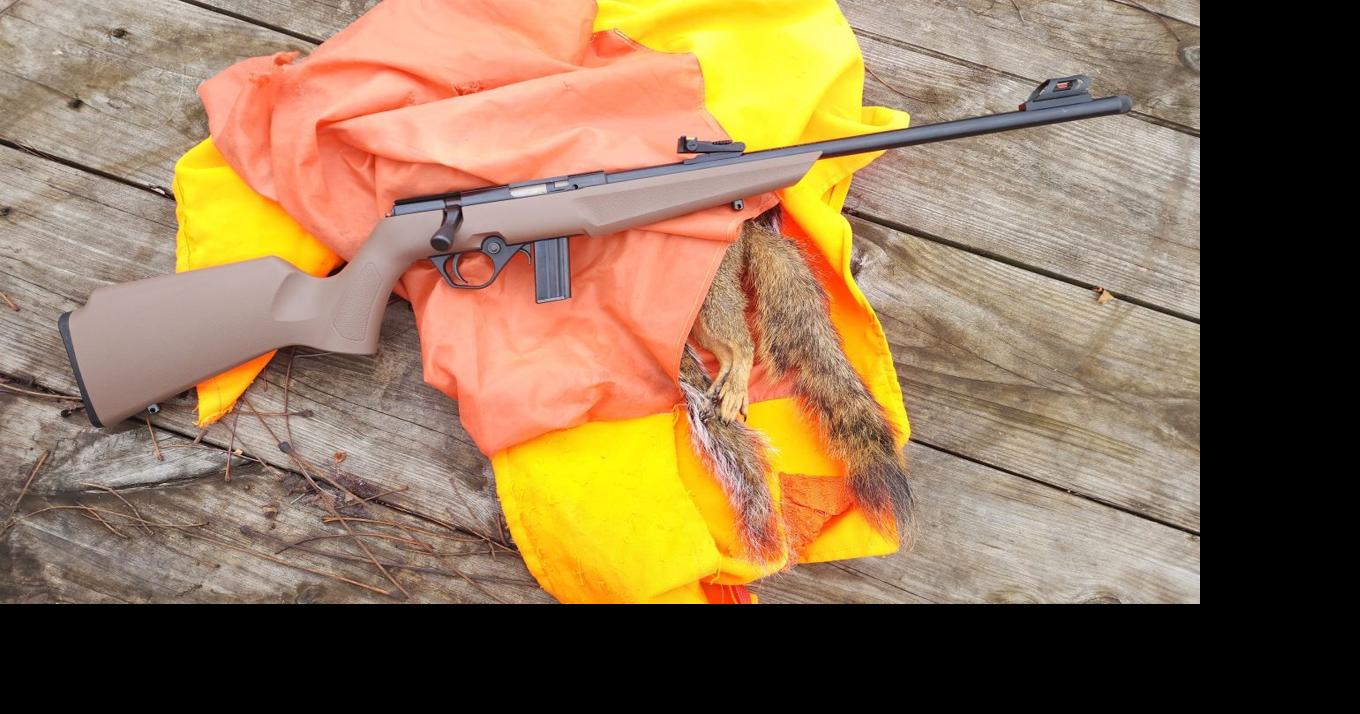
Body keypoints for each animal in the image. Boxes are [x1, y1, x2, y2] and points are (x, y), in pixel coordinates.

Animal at [680, 208, 914, 562]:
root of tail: (744, 230)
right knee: (722, 351)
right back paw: (724, 386)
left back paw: (734, 388)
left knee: (741, 343)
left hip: (712, 292)